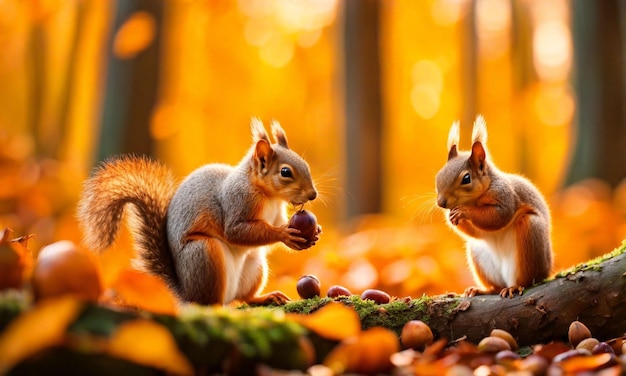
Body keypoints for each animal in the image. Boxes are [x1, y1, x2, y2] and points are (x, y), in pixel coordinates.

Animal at [434, 116, 552, 298]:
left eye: (466, 178)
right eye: (438, 176)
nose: (441, 203)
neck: (474, 200)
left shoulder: (505, 196)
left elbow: (497, 217)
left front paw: (465, 212)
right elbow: (475, 231)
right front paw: (451, 216)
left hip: (532, 234)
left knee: (527, 280)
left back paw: (514, 287)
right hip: (478, 253)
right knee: (496, 286)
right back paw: (482, 290)